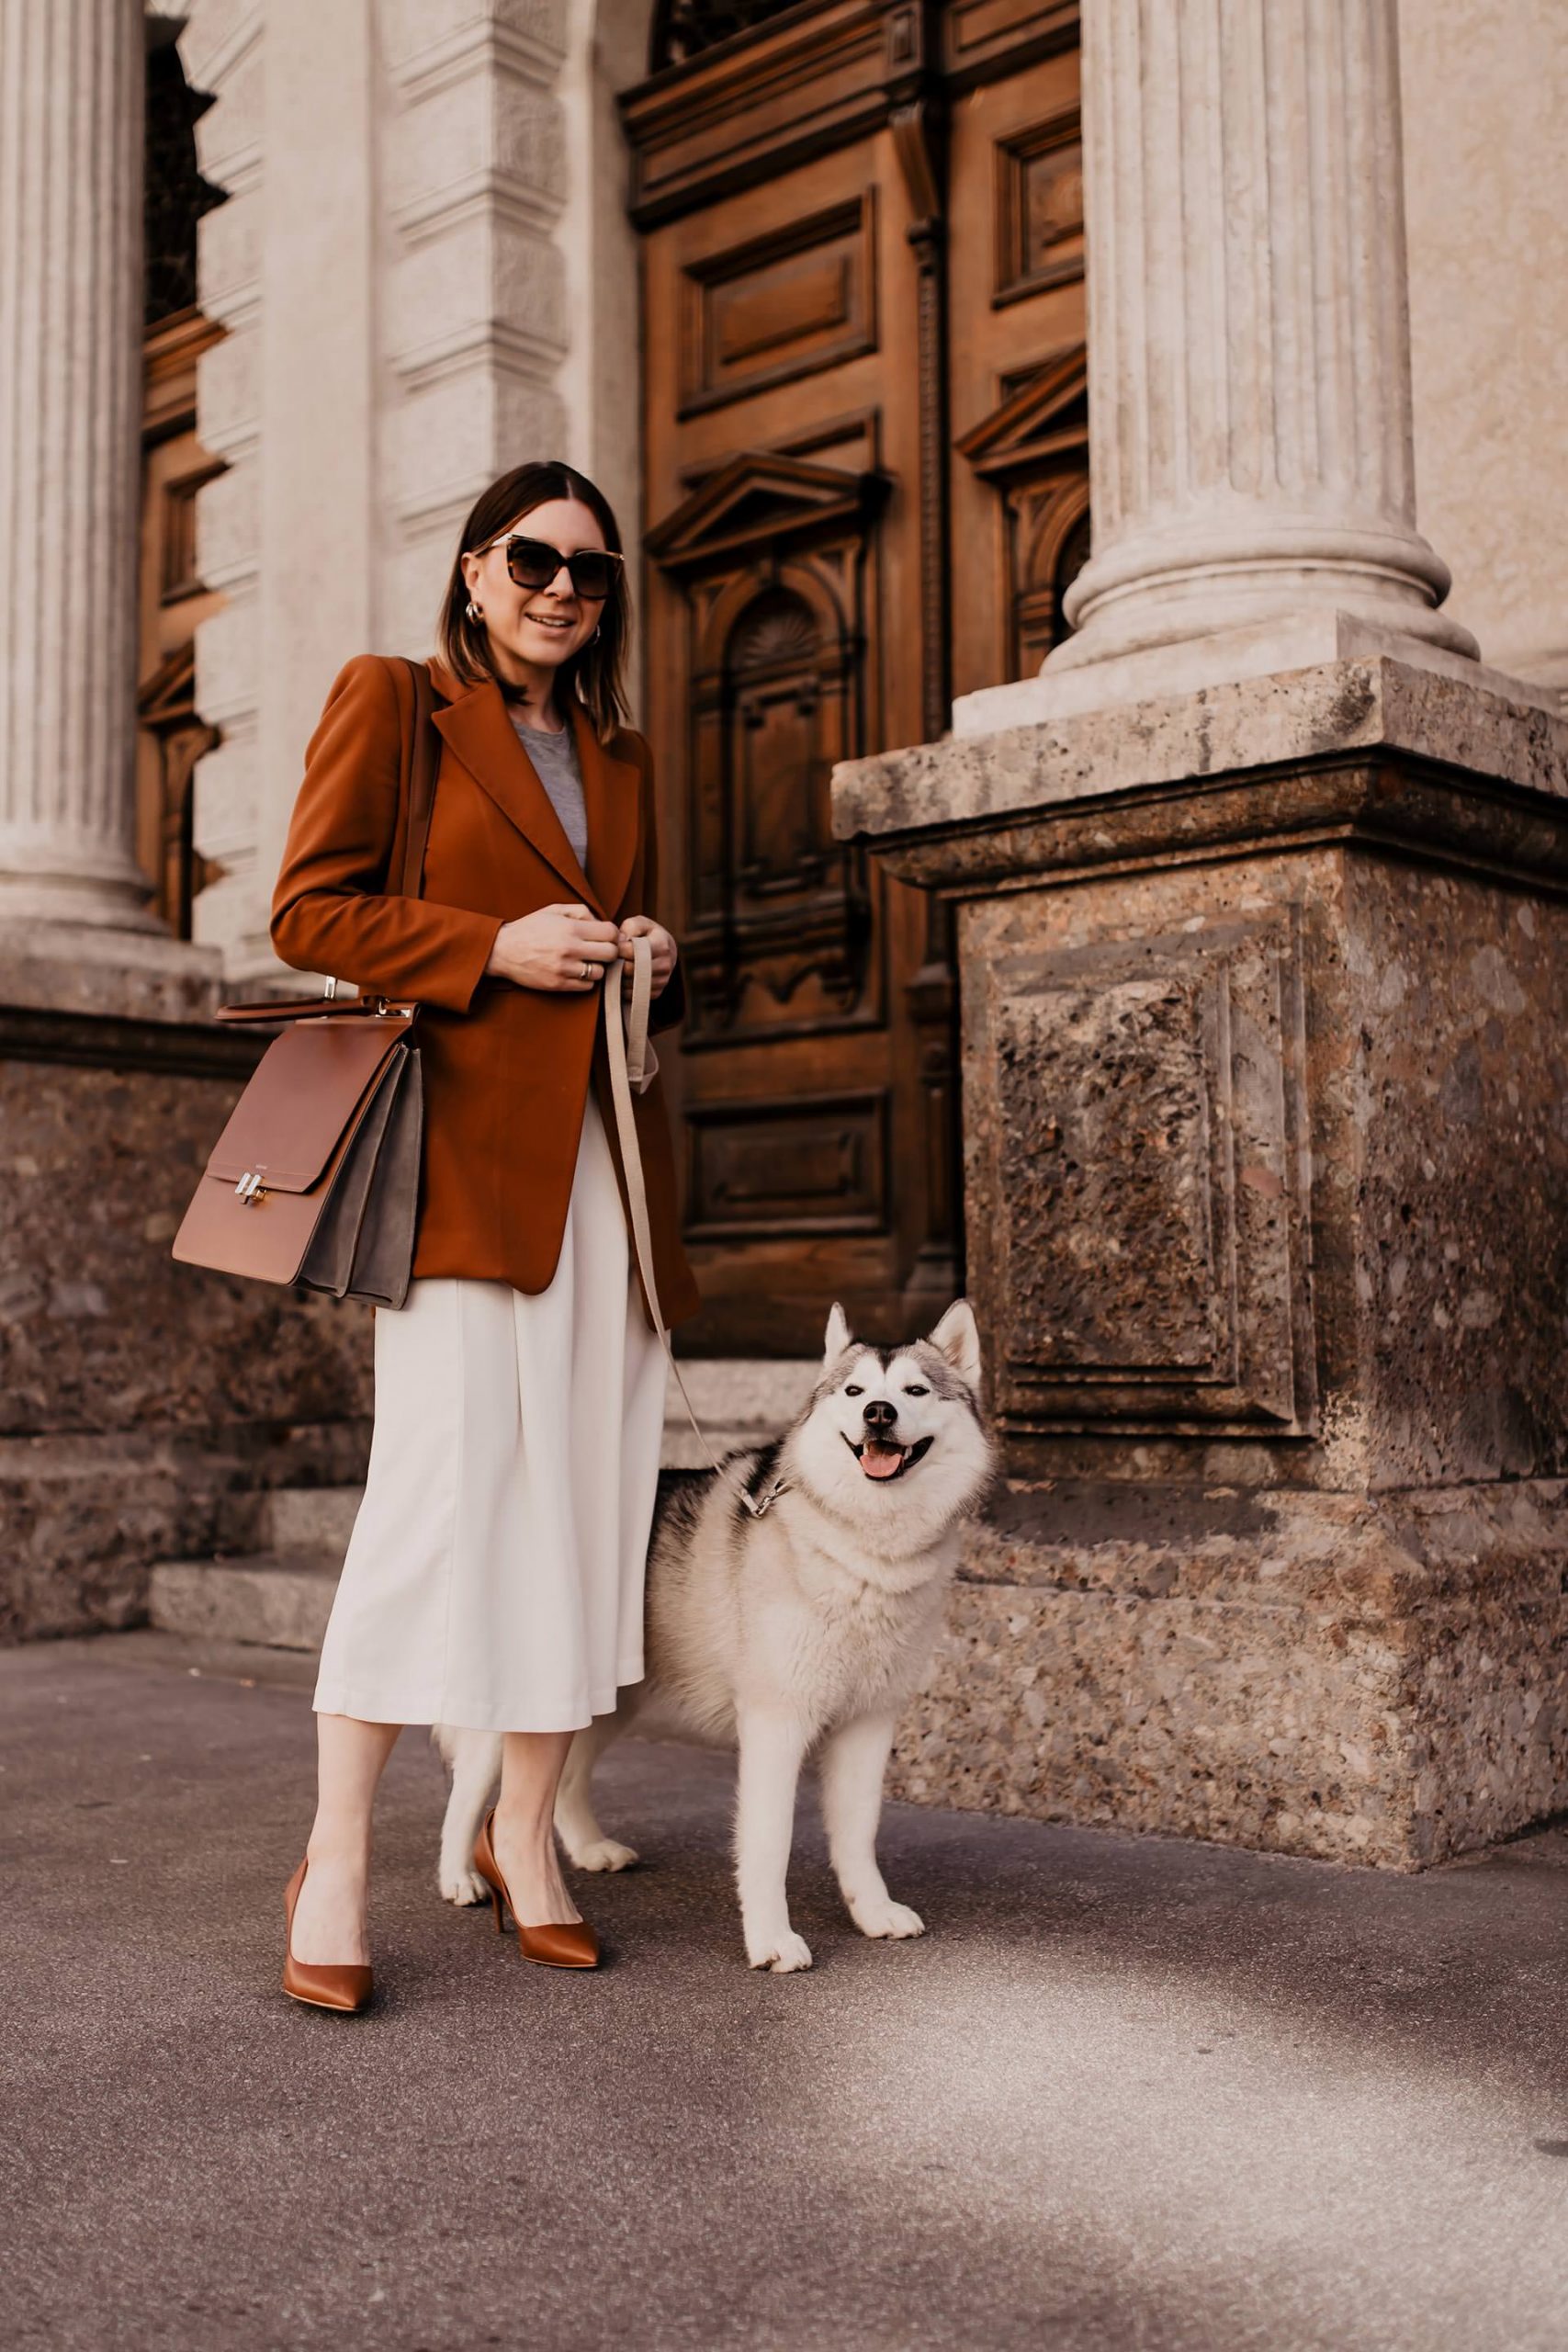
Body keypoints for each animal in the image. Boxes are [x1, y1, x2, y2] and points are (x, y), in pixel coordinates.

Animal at [432, 1298, 991, 1975]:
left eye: (915, 1390)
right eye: (854, 1391)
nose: (878, 1413)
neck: (863, 1548)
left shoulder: (868, 1723)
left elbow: (859, 1834)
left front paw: (872, 1912)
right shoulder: (775, 1724)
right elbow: (770, 1843)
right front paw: (772, 1939)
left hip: (613, 1701)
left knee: (563, 1776)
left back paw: (588, 1848)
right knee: (468, 1787)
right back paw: (459, 1875)